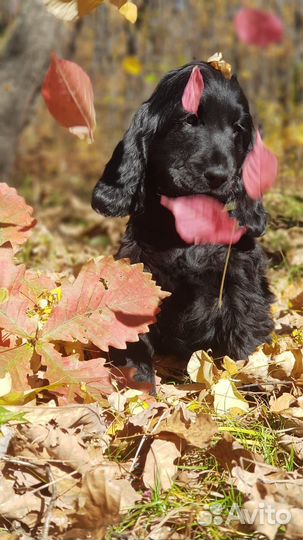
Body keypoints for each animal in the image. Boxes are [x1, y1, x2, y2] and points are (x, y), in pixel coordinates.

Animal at [91, 61, 274, 386]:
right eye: (190, 120)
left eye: (238, 129)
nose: (219, 176)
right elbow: (134, 342)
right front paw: (139, 383)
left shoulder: (241, 284)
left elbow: (246, 341)